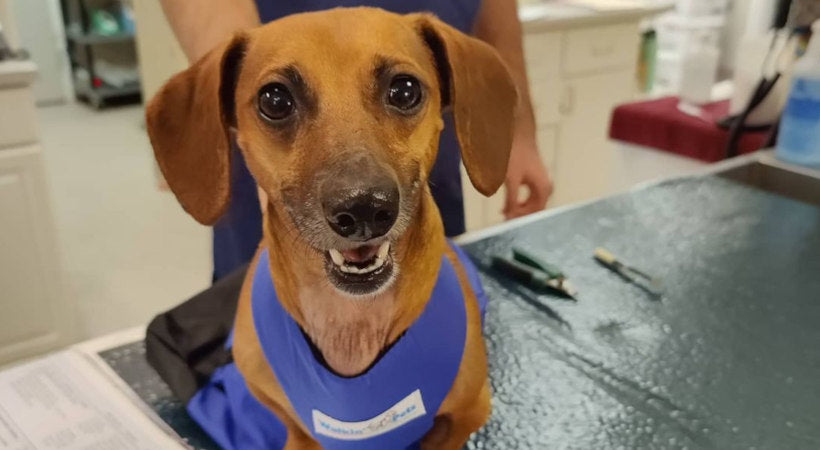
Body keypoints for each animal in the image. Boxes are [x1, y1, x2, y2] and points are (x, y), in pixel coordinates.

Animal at [147, 7, 516, 450]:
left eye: (404, 90)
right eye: (275, 99)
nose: (363, 209)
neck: (351, 323)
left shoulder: (470, 411)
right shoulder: (289, 421)